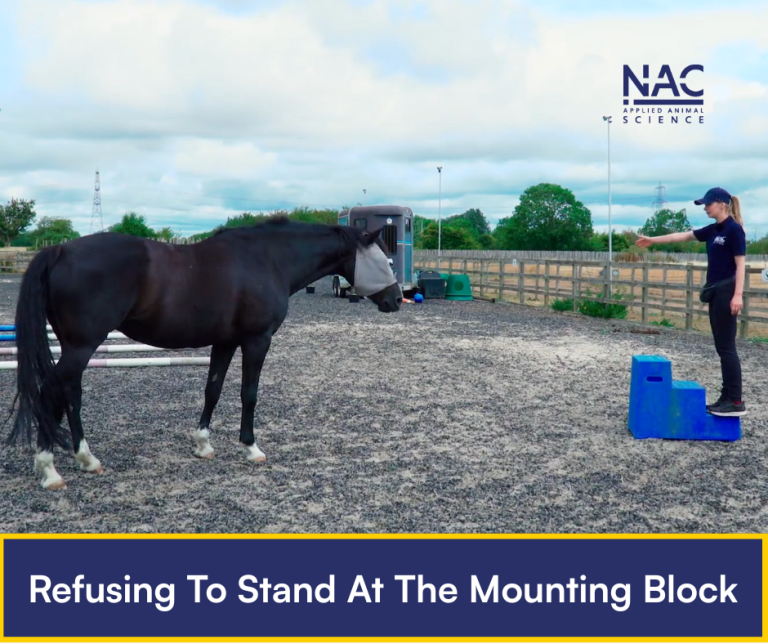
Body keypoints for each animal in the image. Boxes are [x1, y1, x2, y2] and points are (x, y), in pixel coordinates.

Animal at [5, 217, 402, 490]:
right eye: (384, 261)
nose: (397, 300)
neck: (268, 260)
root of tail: (59, 250)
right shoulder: (257, 340)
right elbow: (248, 394)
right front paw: (251, 448)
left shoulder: (225, 342)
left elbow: (213, 389)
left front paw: (203, 444)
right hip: (81, 347)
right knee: (50, 393)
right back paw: (50, 468)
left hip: (75, 347)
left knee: (69, 394)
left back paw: (85, 459)